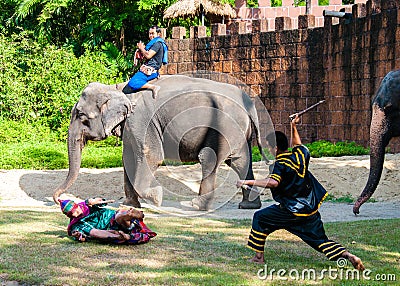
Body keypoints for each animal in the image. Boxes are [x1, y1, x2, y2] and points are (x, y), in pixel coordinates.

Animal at [52, 75, 268, 211]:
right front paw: (129, 205)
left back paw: (196, 206)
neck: (116, 88)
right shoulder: (131, 126)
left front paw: (156, 196)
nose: (58, 199)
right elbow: (129, 158)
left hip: (223, 127)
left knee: (209, 159)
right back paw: (248, 206)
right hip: (237, 132)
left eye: (81, 116)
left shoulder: (140, 120)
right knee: (241, 162)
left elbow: (151, 157)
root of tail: (250, 105)